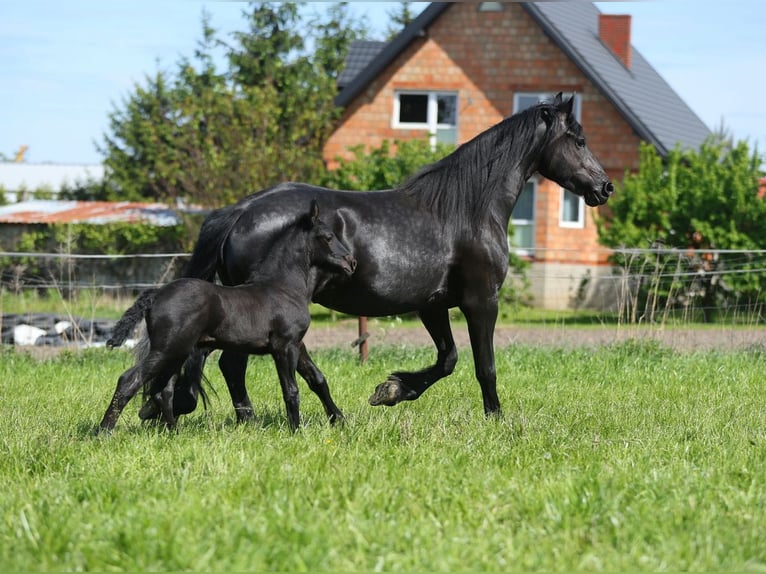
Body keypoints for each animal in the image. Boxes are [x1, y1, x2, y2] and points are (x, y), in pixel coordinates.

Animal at [97, 202, 356, 432]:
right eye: (328, 237)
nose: (351, 263)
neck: (283, 287)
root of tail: (156, 294)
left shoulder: (297, 344)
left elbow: (317, 378)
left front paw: (338, 421)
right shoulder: (284, 346)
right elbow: (291, 390)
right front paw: (296, 431)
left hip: (177, 352)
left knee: (164, 390)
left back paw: (172, 432)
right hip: (166, 350)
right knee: (129, 380)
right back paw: (103, 431)